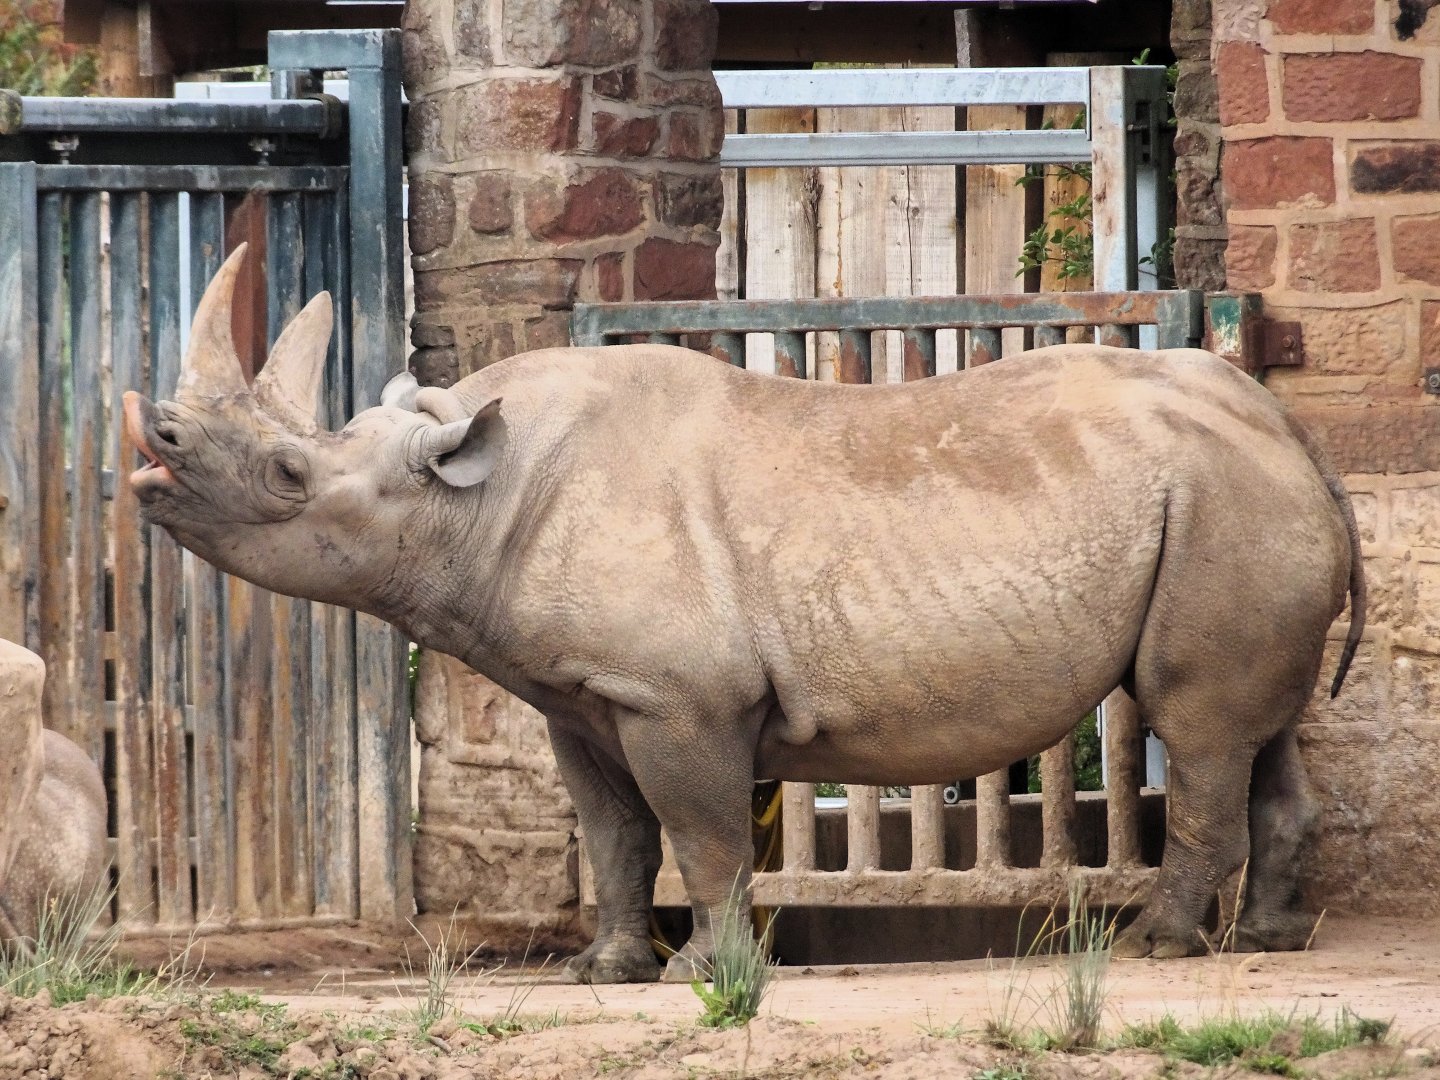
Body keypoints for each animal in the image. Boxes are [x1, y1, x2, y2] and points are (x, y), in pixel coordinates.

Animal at [123, 246, 1363, 983]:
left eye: (288, 473)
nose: (154, 457)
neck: (469, 497)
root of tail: (1296, 434)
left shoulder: (679, 697)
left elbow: (702, 832)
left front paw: (705, 976)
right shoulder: (582, 696)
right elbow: (615, 833)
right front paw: (606, 971)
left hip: (1223, 501)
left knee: (1194, 723)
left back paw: (1158, 948)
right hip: (1230, 502)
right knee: (1254, 729)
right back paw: (1269, 937)